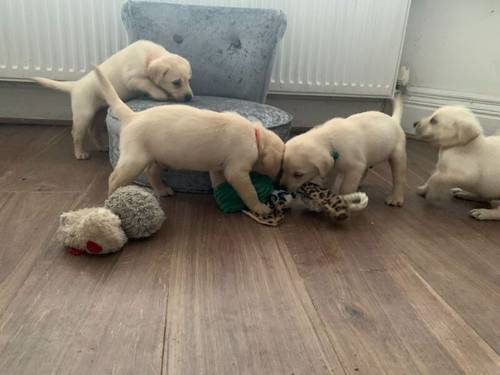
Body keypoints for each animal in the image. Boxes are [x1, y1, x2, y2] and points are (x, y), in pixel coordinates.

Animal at [31, 40, 191, 160]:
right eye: (176, 82)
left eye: (188, 80)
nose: (189, 97)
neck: (149, 56)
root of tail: (76, 85)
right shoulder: (133, 79)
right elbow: (149, 84)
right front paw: (161, 94)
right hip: (84, 114)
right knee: (77, 133)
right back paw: (80, 153)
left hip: (100, 113)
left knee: (93, 130)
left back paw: (102, 147)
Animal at [92, 66, 284, 216]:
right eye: (281, 165)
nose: (280, 183)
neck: (255, 135)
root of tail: (133, 116)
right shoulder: (238, 170)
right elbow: (249, 191)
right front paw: (259, 207)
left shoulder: (218, 167)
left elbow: (219, 181)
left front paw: (223, 196)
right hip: (134, 160)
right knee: (114, 178)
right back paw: (111, 199)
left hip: (161, 157)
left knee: (151, 172)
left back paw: (162, 190)